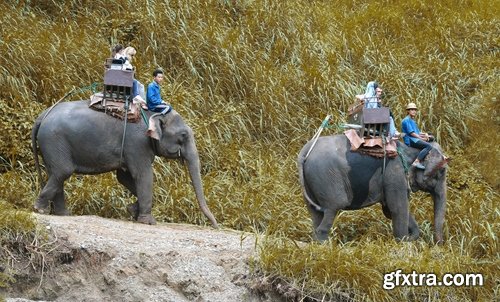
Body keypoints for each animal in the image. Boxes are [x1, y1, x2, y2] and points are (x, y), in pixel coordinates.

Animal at [31, 100, 219, 228]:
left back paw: (63, 214)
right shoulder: (137, 143)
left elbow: (124, 177)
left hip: (51, 145)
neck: (152, 113)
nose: (215, 226)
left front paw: (132, 210)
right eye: (183, 135)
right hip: (54, 141)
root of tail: (42, 116)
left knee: (55, 173)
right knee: (63, 171)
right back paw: (40, 210)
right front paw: (148, 221)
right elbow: (143, 174)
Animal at [296, 134, 450, 243]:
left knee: (316, 213)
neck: (409, 148)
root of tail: (304, 152)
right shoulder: (394, 174)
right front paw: (403, 242)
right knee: (333, 208)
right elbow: (398, 208)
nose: (438, 244)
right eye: (442, 171)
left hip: (313, 183)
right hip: (326, 178)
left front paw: (410, 237)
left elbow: (389, 210)